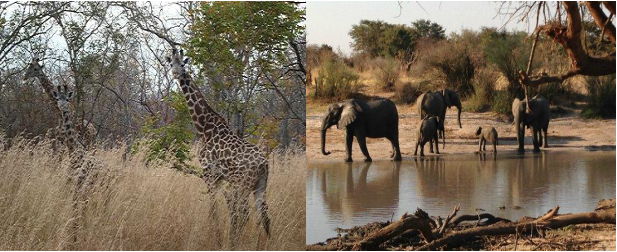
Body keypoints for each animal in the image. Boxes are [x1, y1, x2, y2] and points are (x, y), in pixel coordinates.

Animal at [165, 48, 270, 242]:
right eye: (171, 64)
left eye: (182, 64)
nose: (176, 73)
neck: (204, 127)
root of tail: (264, 164)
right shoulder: (220, 178)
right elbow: (221, 210)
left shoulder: (209, 173)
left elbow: (214, 210)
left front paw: (217, 239)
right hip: (260, 185)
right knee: (264, 216)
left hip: (244, 185)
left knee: (246, 214)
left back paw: (235, 242)